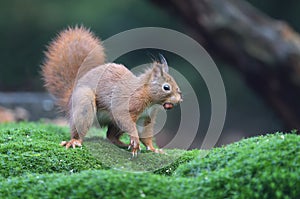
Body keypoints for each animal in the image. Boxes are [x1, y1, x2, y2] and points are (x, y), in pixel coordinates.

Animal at [41, 26, 183, 157]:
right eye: (166, 87)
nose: (179, 100)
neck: (149, 99)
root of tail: (71, 96)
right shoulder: (126, 106)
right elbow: (127, 122)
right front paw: (135, 141)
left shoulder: (146, 118)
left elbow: (145, 135)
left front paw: (154, 149)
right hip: (84, 104)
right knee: (79, 128)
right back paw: (75, 141)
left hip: (114, 123)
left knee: (110, 136)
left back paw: (122, 144)